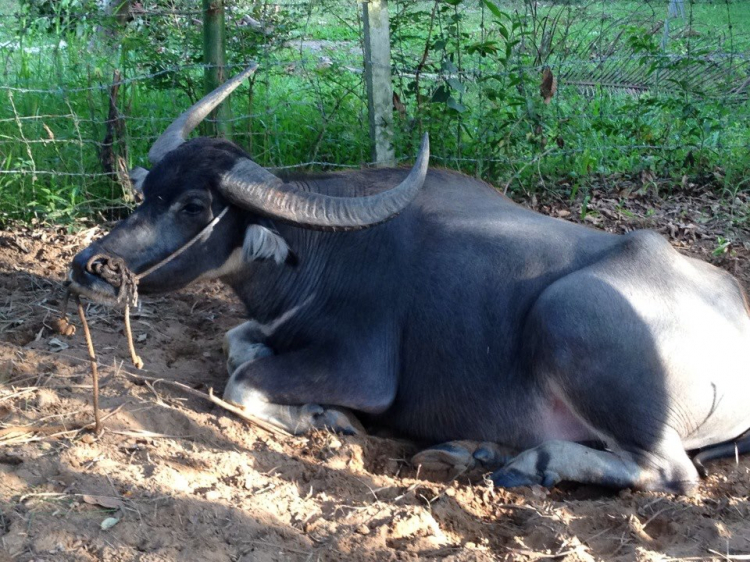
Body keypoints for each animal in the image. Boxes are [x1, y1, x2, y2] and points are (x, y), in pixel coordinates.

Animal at [69, 65, 750, 492]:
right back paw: (471, 451)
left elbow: (239, 383)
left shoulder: (363, 370)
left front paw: (327, 417)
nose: (91, 267)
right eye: (147, 192)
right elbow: (237, 343)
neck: (319, 257)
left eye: (193, 206)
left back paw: (530, 464)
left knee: (669, 474)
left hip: (572, 314)